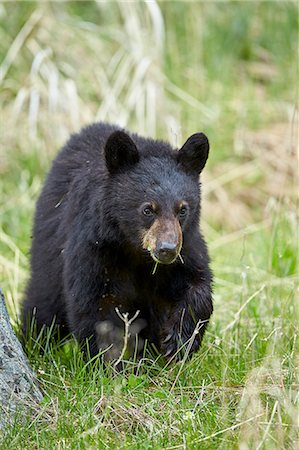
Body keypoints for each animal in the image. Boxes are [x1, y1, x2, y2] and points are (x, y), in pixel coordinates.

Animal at [22, 123, 214, 362]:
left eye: (182, 209)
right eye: (148, 209)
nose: (167, 250)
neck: (136, 251)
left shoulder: (186, 247)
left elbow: (198, 283)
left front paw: (178, 341)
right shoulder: (96, 248)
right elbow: (96, 307)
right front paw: (110, 362)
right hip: (49, 251)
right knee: (44, 305)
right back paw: (35, 345)